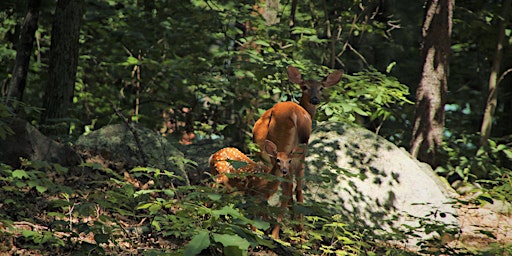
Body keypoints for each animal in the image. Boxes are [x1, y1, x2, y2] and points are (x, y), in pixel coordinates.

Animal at [253, 65, 344, 238]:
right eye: (304, 87)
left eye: (321, 88)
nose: (315, 99)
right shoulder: (300, 154)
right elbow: (299, 188)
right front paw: (299, 229)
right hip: (290, 149)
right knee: (289, 187)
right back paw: (277, 232)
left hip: (266, 152)